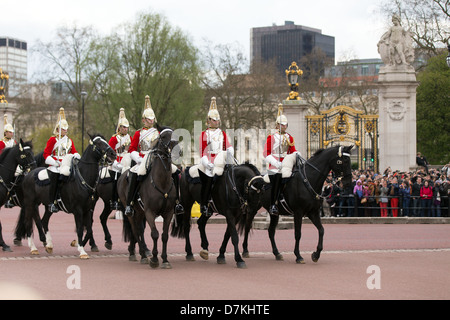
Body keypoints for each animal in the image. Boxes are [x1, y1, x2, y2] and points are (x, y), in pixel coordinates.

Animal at [119, 124, 179, 268]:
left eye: (174, 134)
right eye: (163, 136)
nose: (177, 150)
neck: (162, 182)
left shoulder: (169, 212)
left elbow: (164, 236)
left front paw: (165, 259)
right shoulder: (150, 212)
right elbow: (155, 234)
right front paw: (155, 259)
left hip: (140, 212)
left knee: (139, 230)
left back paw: (138, 252)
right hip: (131, 212)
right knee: (135, 230)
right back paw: (142, 255)